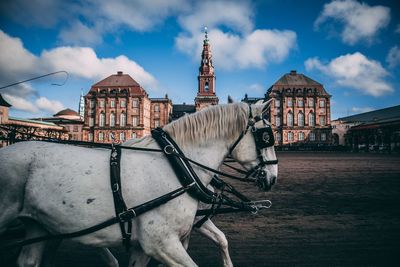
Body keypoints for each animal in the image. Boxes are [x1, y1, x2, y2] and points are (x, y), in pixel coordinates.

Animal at [0, 101, 278, 266]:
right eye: (266, 136)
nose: (273, 177)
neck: (178, 167)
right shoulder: (161, 242)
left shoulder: (155, 243)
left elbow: (222, 239)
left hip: (39, 225)